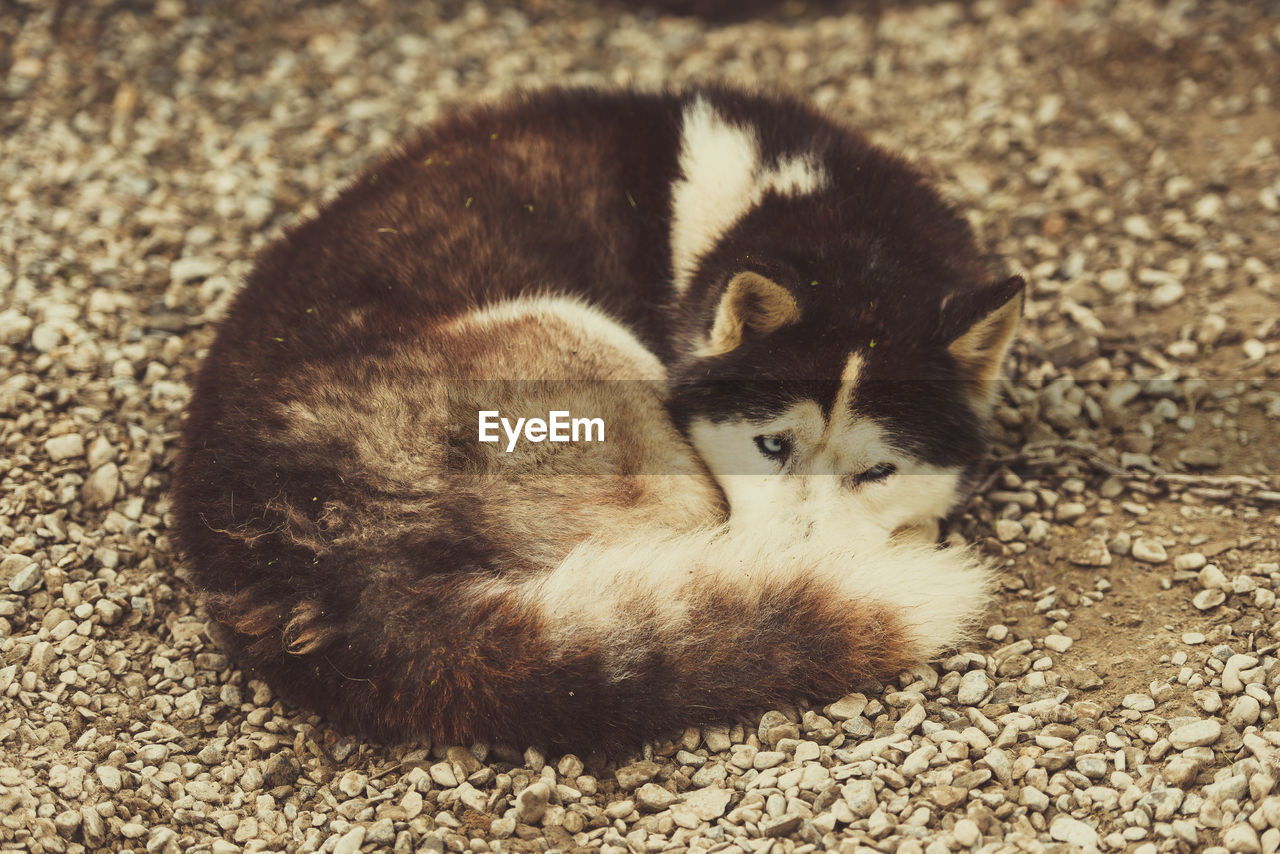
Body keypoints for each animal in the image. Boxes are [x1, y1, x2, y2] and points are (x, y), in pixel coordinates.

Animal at [175, 87, 1024, 747]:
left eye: (878, 470)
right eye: (768, 444)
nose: (807, 565)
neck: (832, 219)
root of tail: (302, 572)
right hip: (579, 340)